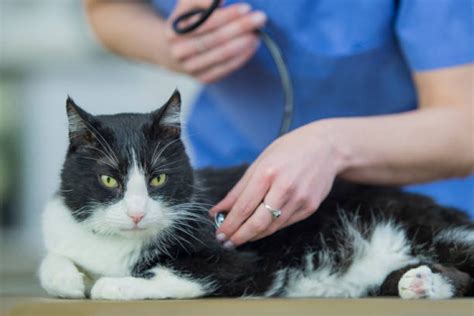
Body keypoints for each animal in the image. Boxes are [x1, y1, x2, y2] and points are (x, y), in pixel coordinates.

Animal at [39, 90, 472, 300]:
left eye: (158, 179)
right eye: (109, 180)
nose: (136, 213)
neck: (118, 244)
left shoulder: (239, 262)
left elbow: (176, 274)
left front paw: (112, 285)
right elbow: (51, 260)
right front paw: (68, 279)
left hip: (429, 230)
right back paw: (418, 283)